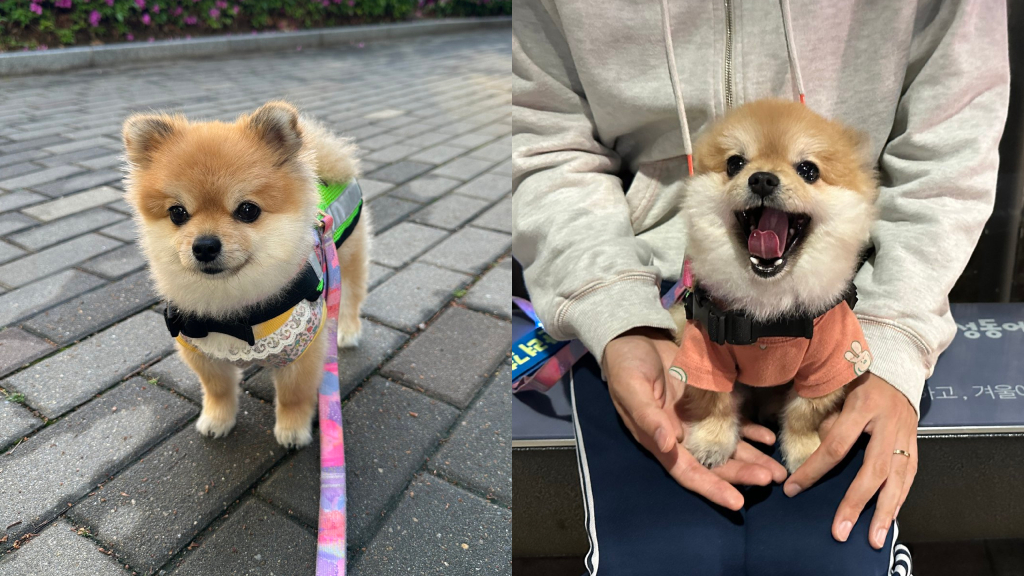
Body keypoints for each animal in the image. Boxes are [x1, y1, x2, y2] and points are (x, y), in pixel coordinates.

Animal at [123, 100, 370, 446]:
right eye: (177, 213)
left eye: (248, 210)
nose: (204, 246)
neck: (231, 312)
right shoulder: (200, 350)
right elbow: (218, 390)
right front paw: (217, 420)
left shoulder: (303, 350)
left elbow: (294, 395)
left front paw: (292, 430)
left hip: (348, 257)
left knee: (351, 298)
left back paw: (347, 330)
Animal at [667, 98, 876, 471]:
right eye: (735, 163)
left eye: (808, 170)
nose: (762, 179)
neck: (768, 308)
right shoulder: (704, 349)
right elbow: (716, 401)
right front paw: (712, 442)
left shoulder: (832, 358)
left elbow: (803, 413)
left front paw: (803, 449)